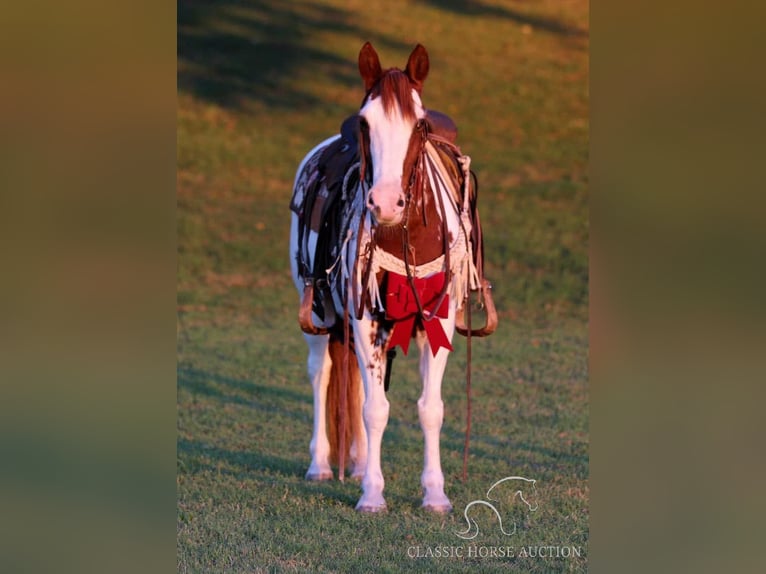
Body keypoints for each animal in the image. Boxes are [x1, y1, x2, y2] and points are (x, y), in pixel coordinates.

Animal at [290, 42, 498, 516]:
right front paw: (372, 494)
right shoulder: (363, 318)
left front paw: (435, 494)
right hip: (320, 311)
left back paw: (358, 461)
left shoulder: (437, 320)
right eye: (366, 123)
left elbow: (429, 408)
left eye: (419, 125)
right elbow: (373, 409)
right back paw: (321, 464)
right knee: (321, 373)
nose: (385, 204)